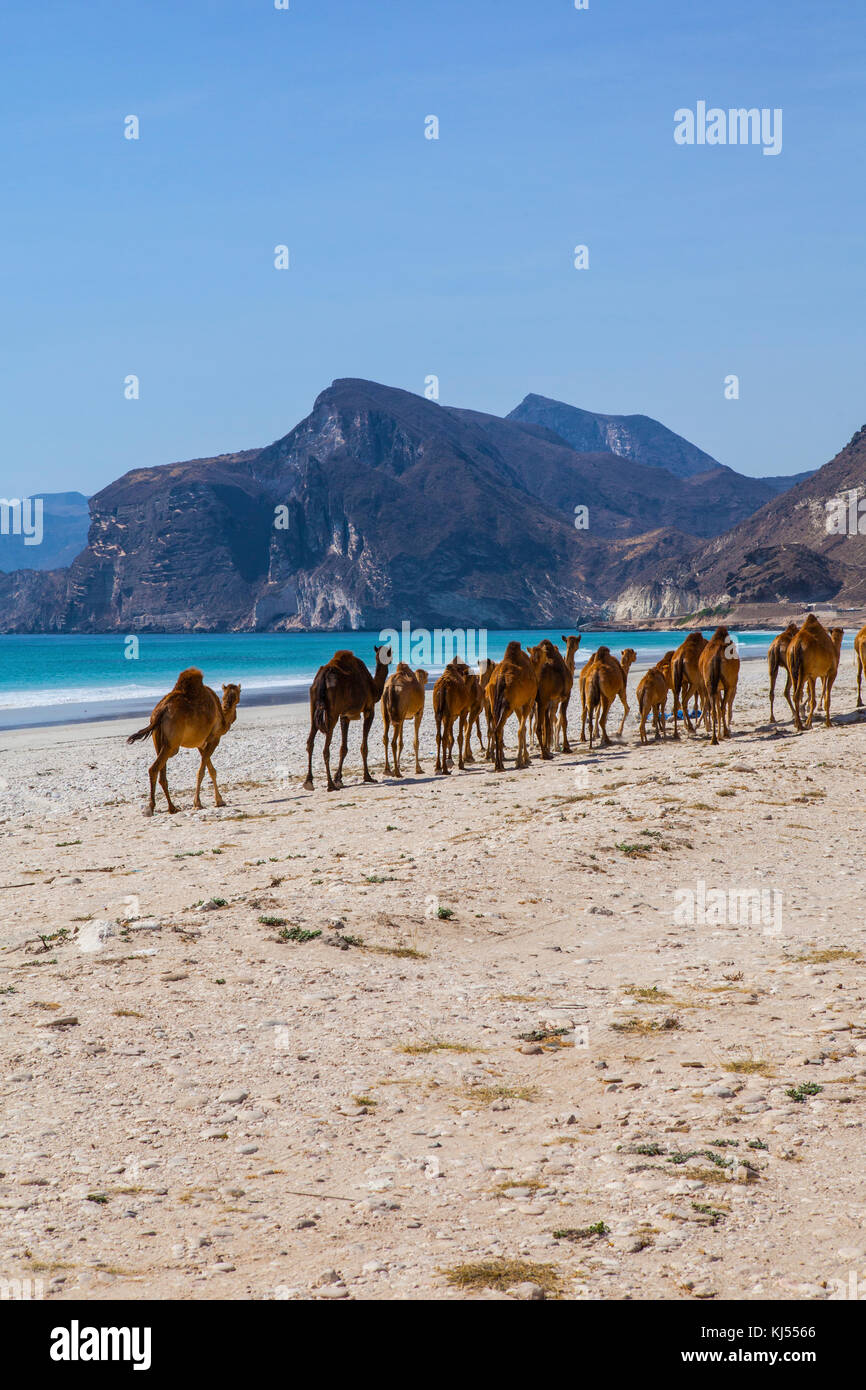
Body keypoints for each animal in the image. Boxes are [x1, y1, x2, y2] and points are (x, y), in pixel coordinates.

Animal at [127, 669, 240, 817]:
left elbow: (211, 769)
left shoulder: (200, 743)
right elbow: (202, 771)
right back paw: (151, 807)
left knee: (161, 774)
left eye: (236, 694)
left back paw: (172, 808)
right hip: (172, 743)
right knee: (154, 768)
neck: (223, 717)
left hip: (158, 740)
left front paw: (219, 801)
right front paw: (199, 803)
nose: (228, 704)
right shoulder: (214, 738)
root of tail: (160, 711)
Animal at [301, 642, 389, 795]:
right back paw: (330, 785)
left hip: (314, 705)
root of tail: (322, 677)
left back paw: (309, 782)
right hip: (332, 713)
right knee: (325, 748)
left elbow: (343, 748)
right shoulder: (369, 709)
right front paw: (368, 777)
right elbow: (364, 747)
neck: (373, 687)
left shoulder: (345, 715)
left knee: (310, 742)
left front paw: (339, 779)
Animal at [492, 639, 539, 772]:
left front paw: (525, 758)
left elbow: (522, 729)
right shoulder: (528, 701)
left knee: (497, 728)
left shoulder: (518, 705)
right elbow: (521, 729)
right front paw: (522, 760)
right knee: (503, 729)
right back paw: (505, 764)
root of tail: (501, 678)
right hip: (508, 705)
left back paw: (499, 765)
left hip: (496, 704)